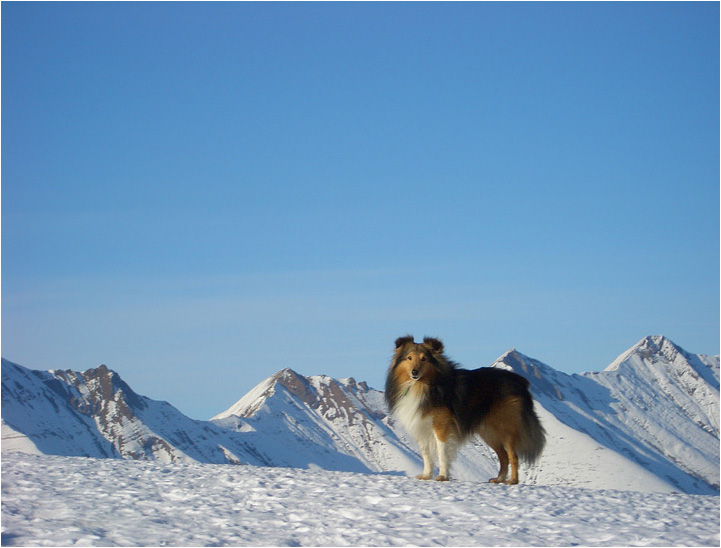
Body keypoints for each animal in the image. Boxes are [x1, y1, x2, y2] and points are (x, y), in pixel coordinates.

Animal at [382, 334, 544, 484]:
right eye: (409, 358)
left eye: (424, 359)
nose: (414, 372)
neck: (422, 386)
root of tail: (519, 380)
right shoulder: (421, 428)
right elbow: (426, 454)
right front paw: (426, 475)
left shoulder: (441, 426)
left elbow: (442, 452)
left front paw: (442, 476)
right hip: (489, 433)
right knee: (503, 456)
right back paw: (499, 479)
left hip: (505, 427)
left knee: (513, 455)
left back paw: (513, 480)